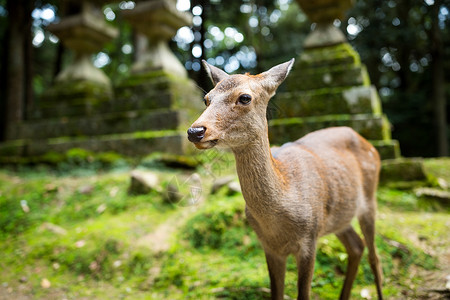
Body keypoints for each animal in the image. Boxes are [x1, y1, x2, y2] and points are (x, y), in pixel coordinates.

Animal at [186, 59, 384, 300]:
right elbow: (276, 293)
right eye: (207, 98)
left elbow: (304, 294)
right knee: (356, 246)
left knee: (375, 257)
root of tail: (368, 143)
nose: (195, 131)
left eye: (245, 97)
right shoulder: (269, 247)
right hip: (339, 215)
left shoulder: (309, 239)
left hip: (370, 199)